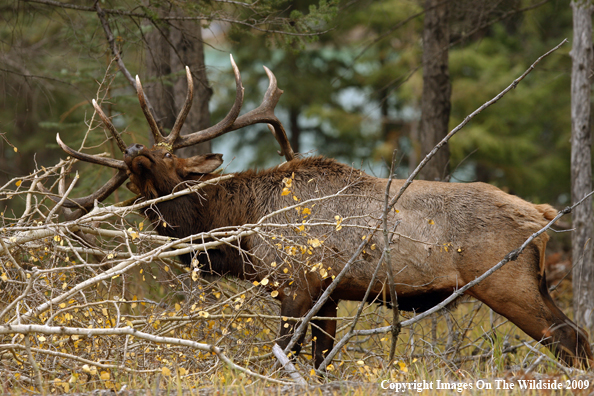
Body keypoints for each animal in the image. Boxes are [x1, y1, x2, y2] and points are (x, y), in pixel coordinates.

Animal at [53, 57, 588, 370]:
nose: (136, 151)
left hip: (507, 282)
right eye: (132, 182)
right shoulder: (328, 293)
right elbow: (320, 362)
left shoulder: (294, 282)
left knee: (572, 339)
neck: (240, 233)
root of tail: (543, 214)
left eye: (169, 158)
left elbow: (283, 357)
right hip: (531, 283)